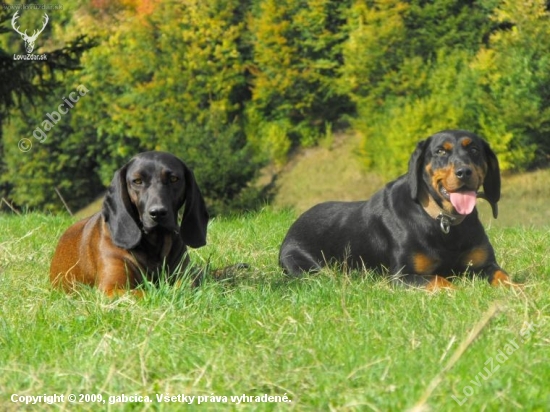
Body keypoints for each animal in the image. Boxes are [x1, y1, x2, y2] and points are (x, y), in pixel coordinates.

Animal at [280, 130, 516, 290]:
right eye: (440, 151)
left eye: (474, 149)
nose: (464, 171)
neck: (443, 222)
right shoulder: (402, 276)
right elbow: (441, 280)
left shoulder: (486, 264)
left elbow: (504, 276)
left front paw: (518, 290)